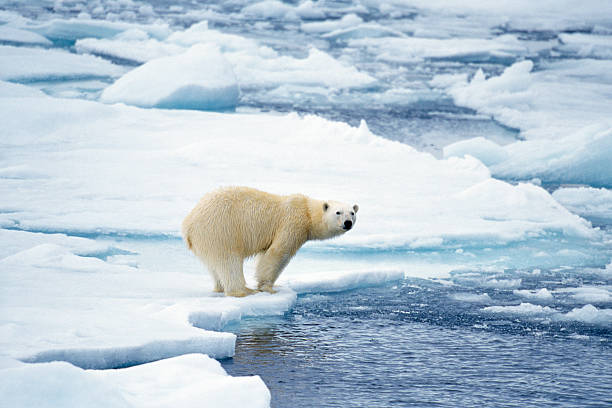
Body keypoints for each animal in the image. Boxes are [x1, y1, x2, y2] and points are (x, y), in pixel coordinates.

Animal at [180, 187, 358, 296]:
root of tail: (188, 224)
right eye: (338, 212)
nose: (347, 223)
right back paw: (243, 290)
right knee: (229, 261)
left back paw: (219, 287)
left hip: (206, 240)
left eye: (352, 213)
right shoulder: (291, 224)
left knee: (214, 265)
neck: (307, 212)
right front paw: (269, 288)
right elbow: (277, 254)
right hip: (221, 230)